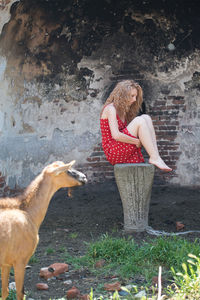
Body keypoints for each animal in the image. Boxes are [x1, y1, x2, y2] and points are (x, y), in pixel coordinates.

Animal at [0, 161, 86, 300]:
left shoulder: (6, 263)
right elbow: (20, 293)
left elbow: (5, 292)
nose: (84, 177)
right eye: (67, 170)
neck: (28, 213)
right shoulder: (20, 259)